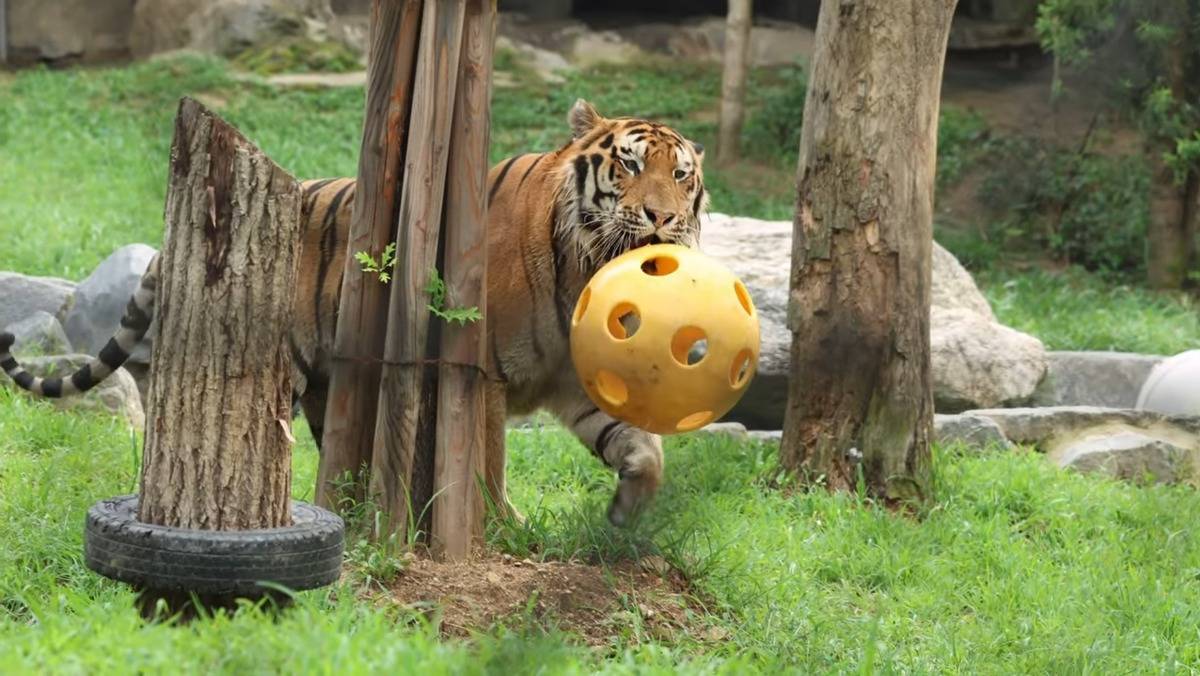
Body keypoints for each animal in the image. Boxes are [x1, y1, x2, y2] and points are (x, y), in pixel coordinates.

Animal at [0, 97, 705, 525]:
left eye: (681, 176)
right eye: (629, 164)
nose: (662, 218)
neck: (587, 270)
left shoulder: (578, 380)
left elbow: (643, 448)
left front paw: (629, 510)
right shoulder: (482, 373)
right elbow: (487, 464)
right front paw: (504, 527)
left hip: (324, 387)